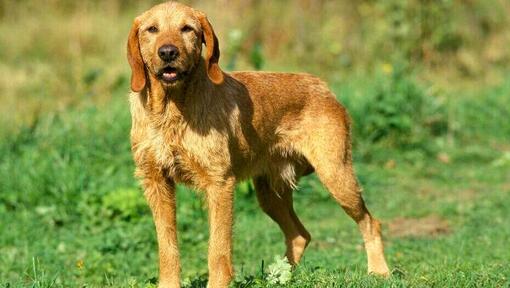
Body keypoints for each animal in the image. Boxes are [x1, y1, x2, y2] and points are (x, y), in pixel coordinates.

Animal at [127, 1, 390, 286]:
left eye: (187, 29)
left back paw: (379, 271)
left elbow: (218, 249)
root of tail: (323, 86)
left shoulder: (219, 183)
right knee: (299, 234)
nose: (167, 52)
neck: (170, 111)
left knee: (371, 222)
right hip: (270, 194)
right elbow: (167, 247)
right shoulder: (156, 182)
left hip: (337, 177)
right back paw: (281, 276)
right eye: (152, 29)